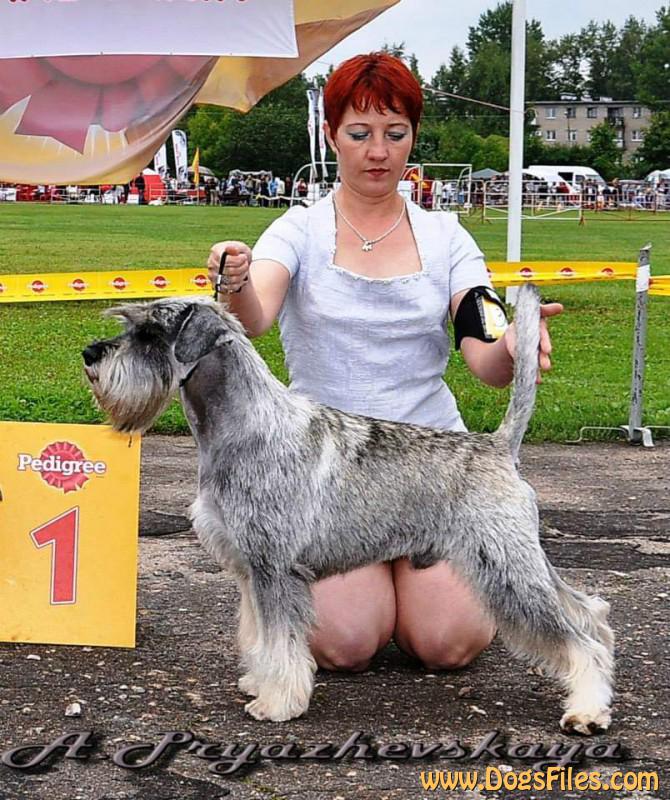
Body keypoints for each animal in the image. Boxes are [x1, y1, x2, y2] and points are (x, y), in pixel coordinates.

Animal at [82, 284, 614, 732]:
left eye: (151, 332)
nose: (90, 354)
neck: (242, 426)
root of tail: (499, 446)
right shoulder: (250, 570)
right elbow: (259, 637)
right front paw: (259, 681)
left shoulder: (275, 568)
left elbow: (280, 641)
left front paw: (277, 702)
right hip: (523, 561)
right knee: (589, 611)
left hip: (505, 568)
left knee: (576, 637)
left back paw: (587, 710)